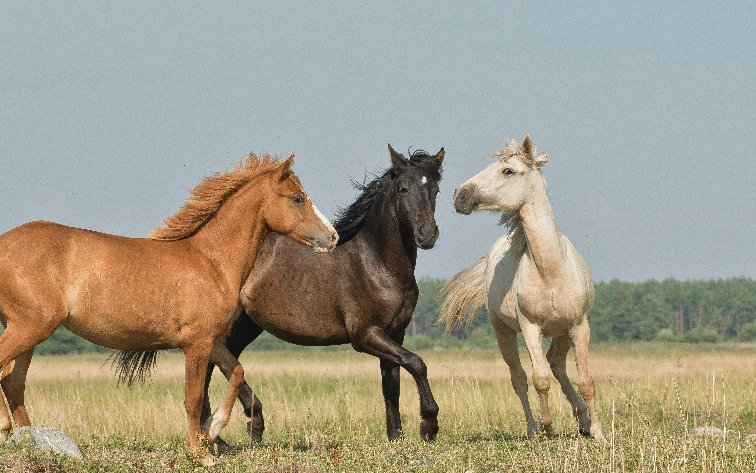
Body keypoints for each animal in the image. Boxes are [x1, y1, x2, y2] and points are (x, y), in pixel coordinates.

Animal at [0, 153, 337, 465]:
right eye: (297, 198)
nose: (332, 236)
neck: (211, 261)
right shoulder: (195, 343)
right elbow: (193, 398)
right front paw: (200, 453)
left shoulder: (212, 341)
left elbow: (237, 372)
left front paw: (212, 431)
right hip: (31, 326)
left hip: (29, 332)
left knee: (12, 380)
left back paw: (30, 439)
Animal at [115, 144, 445, 443]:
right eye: (403, 188)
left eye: (435, 189)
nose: (427, 234)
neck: (375, 262)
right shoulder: (365, 335)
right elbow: (417, 363)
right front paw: (428, 426)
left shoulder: (394, 333)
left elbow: (392, 385)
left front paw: (396, 437)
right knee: (213, 367)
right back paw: (240, 428)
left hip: (244, 326)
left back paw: (225, 433)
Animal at [438, 135, 605, 441]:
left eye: (508, 171)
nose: (460, 195)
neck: (551, 270)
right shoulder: (530, 328)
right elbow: (539, 379)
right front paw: (547, 428)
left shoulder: (579, 326)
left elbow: (586, 380)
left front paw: (598, 434)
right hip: (503, 331)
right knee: (520, 378)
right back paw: (532, 429)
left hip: (563, 332)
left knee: (557, 364)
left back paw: (583, 422)